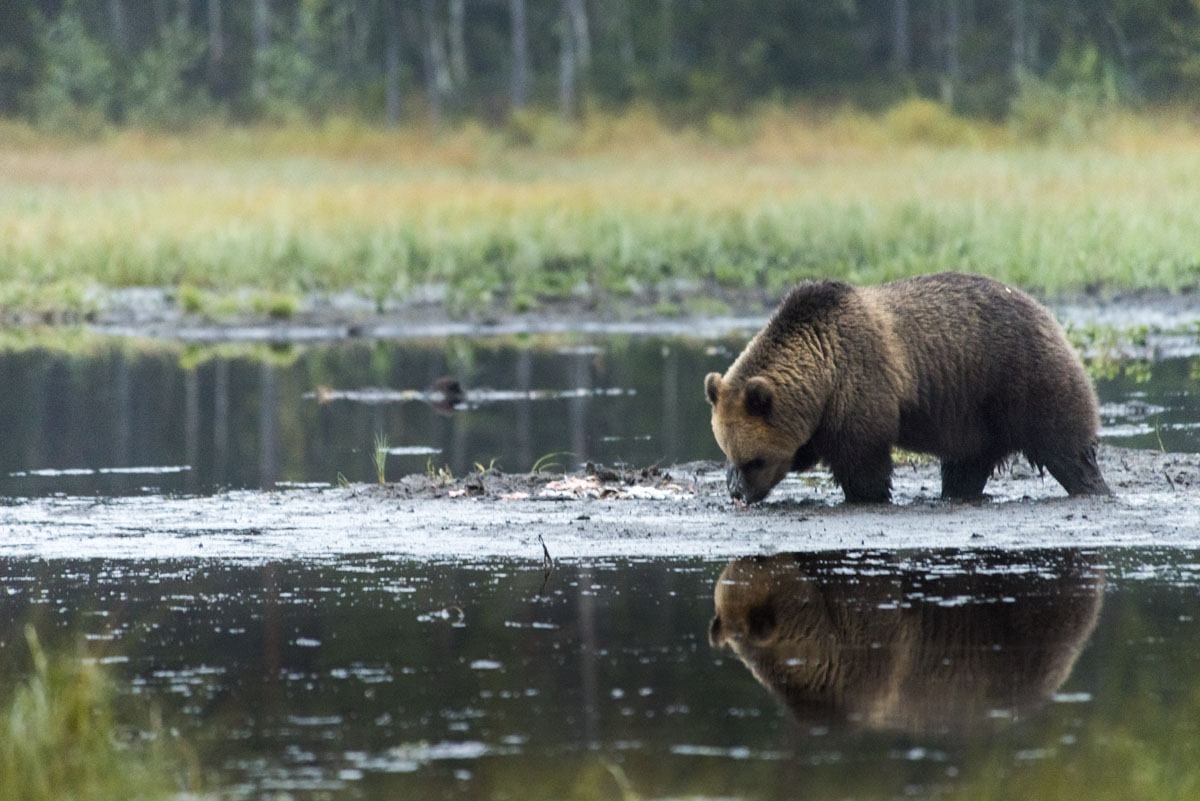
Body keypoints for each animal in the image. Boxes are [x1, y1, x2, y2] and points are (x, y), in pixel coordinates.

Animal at [705, 272, 1108, 503]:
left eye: (755, 460)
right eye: (728, 452)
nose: (737, 492)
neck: (823, 372)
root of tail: (1045, 311)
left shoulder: (862, 384)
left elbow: (862, 461)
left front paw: (868, 495)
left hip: (1022, 377)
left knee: (1065, 445)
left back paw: (1092, 487)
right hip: (976, 418)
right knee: (967, 467)